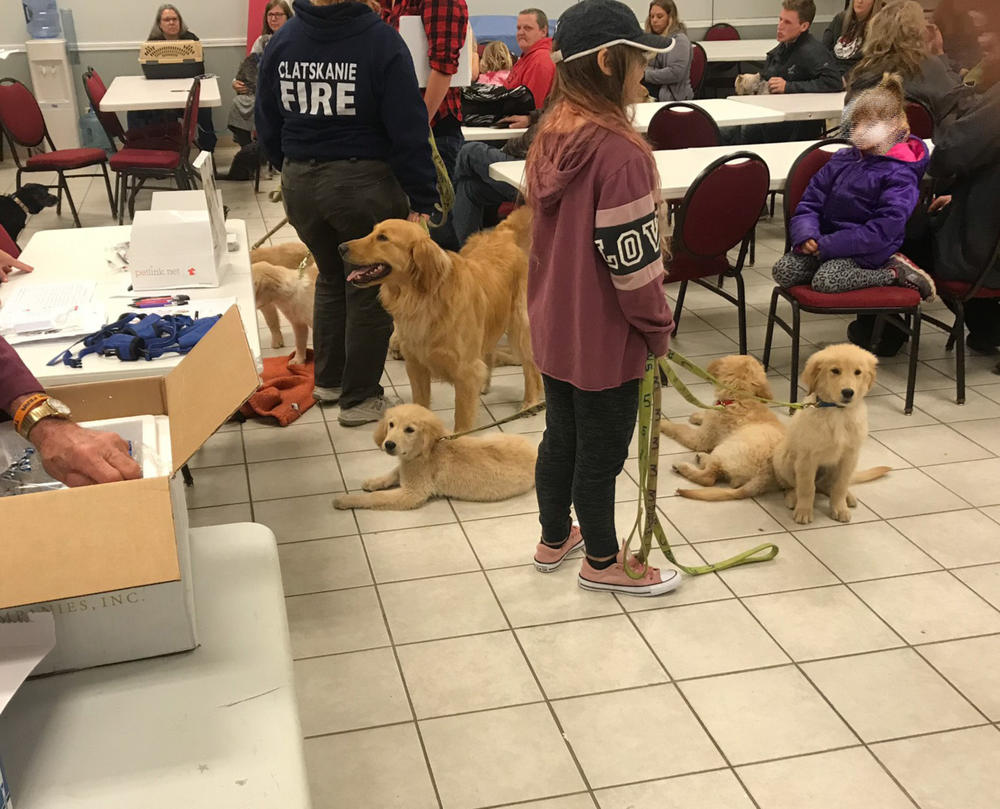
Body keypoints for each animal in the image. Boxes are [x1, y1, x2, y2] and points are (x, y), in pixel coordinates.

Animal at [334, 404, 540, 512]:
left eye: (409, 430)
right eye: (391, 425)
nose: (389, 444)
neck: (426, 450)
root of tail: (535, 451)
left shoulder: (412, 493)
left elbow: (376, 497)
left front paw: (346, 500)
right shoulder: (407, 466)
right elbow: (394, 472)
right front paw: (374, 481)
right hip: (490, 436)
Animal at [338, 208, 544, 436]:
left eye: (383, 238)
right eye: (372, 231)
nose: (340, 247)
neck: (421, 300)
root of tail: (504, 234)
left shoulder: (464, 372)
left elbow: (462, 422)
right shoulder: (416, 366)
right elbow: (419, 405)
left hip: (519, 325)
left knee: (530, 366)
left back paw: (531, 403)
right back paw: (484, 384)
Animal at [664, 356, 788, 498]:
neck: (739, 399)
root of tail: (766, 476)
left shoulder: (700, 438)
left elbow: (679, 428)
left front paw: (662, 423)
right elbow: (707, 412)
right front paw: (697, 416)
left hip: (724, 449)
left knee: (709, 477)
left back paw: (684, 466)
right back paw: (702, 458)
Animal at [768, 342, 888, 524]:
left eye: (857, 372)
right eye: (835, 371)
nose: (848, 392)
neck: (837, 412)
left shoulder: (849, 456)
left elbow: (840, 486)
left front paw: (839, 508)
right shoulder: (807, 458)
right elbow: (807, 487)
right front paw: (804, 511)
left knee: (828, 486)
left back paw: (848, 497)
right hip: (784, 459)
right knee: (797, 485)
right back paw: (792, 497)